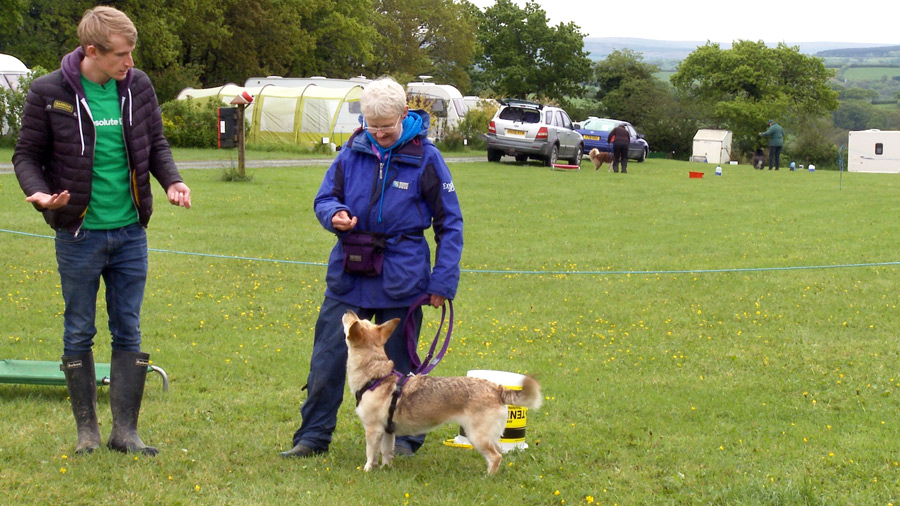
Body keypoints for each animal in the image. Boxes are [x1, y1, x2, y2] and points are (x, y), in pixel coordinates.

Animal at [342, 312, 540, 474]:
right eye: (360, 319)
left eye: (353, 322)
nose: (348, 311)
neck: (375, 377)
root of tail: (496, 388)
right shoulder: (388, 432)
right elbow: (386, 453)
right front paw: (385, 468)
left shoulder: (373, 430)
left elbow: (371, 453)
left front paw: (368, 470)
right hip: (490, 436)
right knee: (500, 453)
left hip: (477, 436)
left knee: (495, 457)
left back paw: (487, 478)